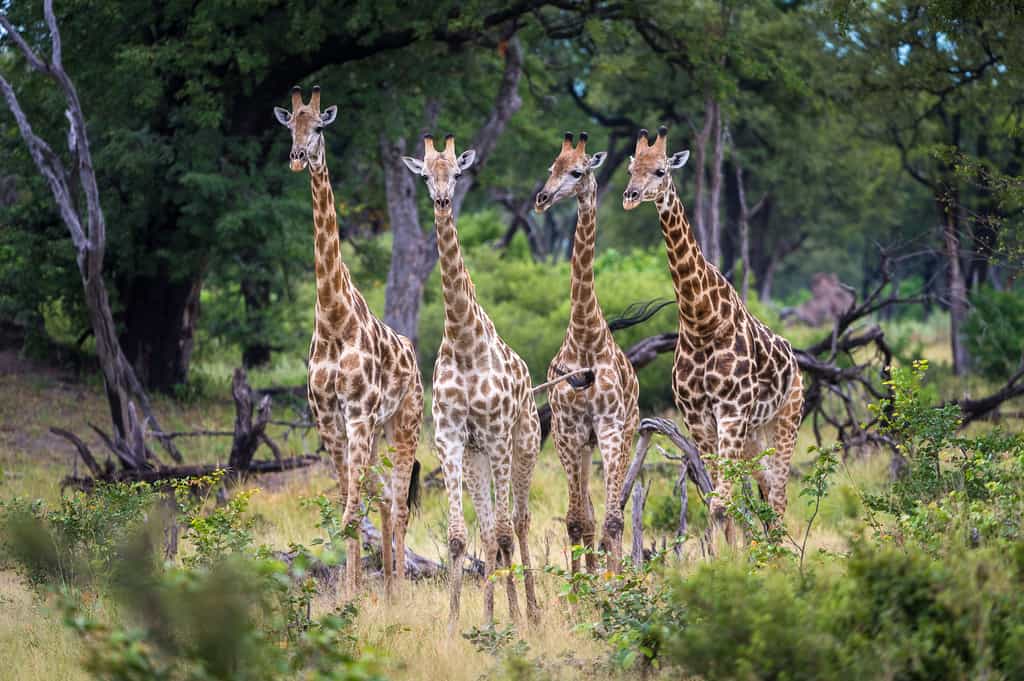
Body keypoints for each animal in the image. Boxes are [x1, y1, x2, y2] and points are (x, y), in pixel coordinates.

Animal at [274, 86, 424, 595]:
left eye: (319, 126)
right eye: (290, 126)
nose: (298, 158)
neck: (333, 318)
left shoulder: (357, 414)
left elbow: (352, 511)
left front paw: (360, 593)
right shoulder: (328, 418)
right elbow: (347, 506)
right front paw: (352, 592)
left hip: (404, 422)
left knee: (397, 503)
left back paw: (399, 588)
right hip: (377, 430)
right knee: (382, 498)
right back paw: (389, 585)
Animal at [401, 134, 541, 631]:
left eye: (458, 173)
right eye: (426, 174)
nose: (443, 200)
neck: (463, 340)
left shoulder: (498, 436)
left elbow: (501, 531)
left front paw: (502, 618)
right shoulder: (449, 438)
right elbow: (462, 537)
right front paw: (458, 622)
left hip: (523, 444)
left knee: (517, 522)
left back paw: (531, 612)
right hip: (479, 456)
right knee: (491, 528)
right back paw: (504, 611)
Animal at [622, 126, 803, 545]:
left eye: (660, 171)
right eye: (630, 169)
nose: (630, 196)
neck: (702, 319)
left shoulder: (731, 412)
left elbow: (723, 502)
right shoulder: (699, 418)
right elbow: (717, 502)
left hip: (785, 423)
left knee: (780, 499)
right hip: (755, 437)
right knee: (767, 495)